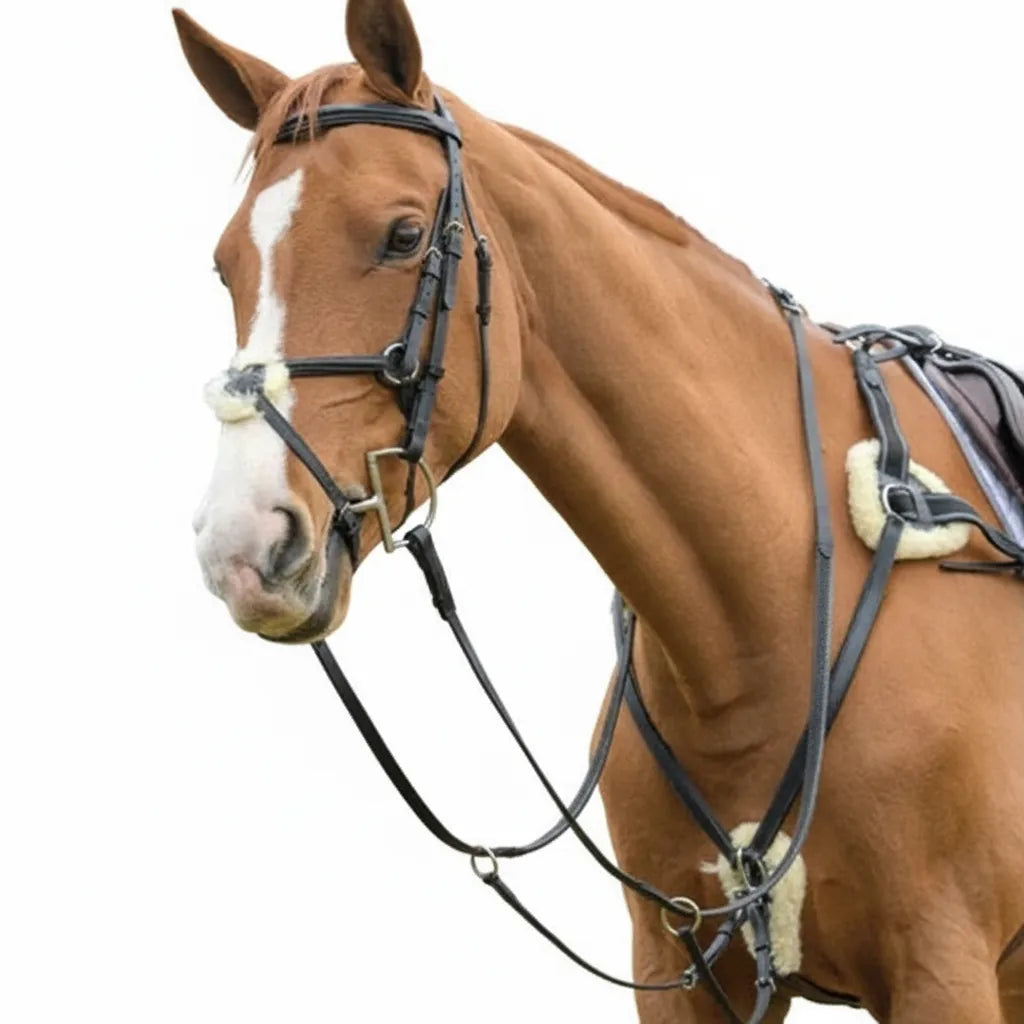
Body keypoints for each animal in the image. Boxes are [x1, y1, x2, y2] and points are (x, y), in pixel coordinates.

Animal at [174, 1, 1024, 1020]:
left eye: (405, 236)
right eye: (226, 266)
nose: (244, 543)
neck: (767, 624)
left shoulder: (943, 967)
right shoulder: (682, 970)